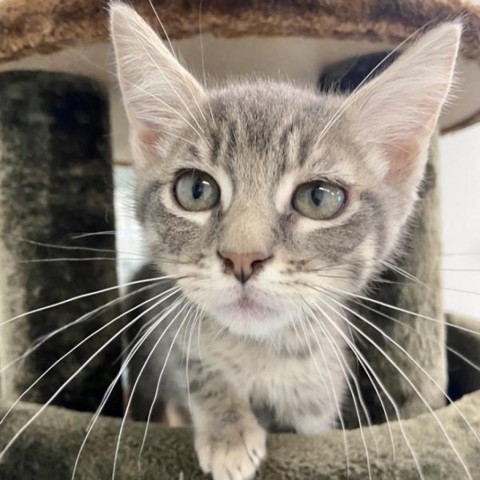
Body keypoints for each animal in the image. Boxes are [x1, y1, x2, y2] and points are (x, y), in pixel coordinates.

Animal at [110, 4, 460, 480]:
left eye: (319, 198)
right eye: (195, 191)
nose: (242, 257)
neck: (263, 354)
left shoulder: (318, 401)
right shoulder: (167, 332)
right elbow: (197, 367)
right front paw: (228, 427)